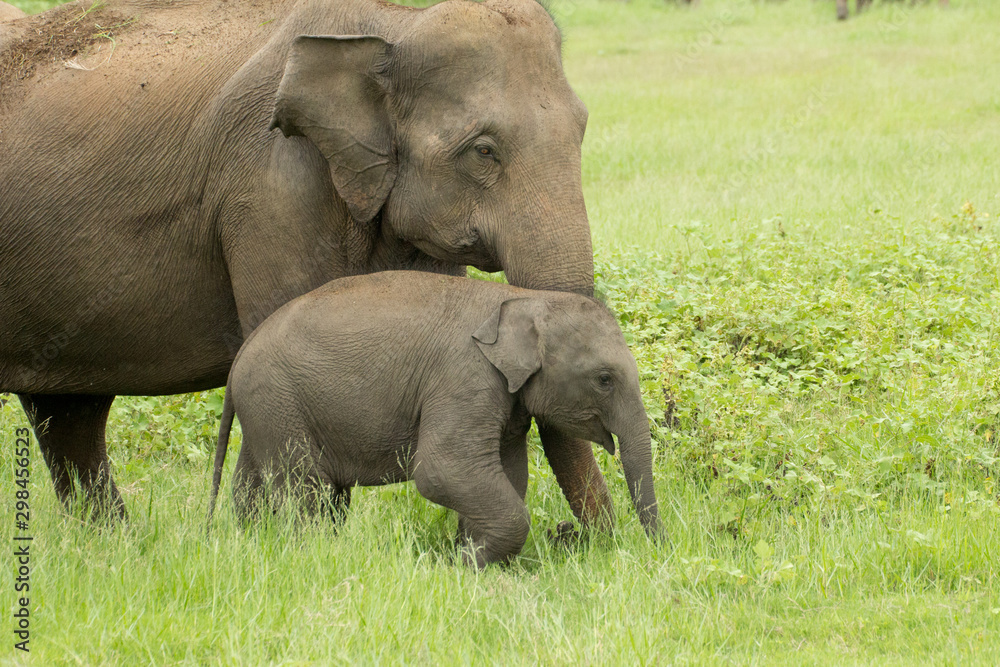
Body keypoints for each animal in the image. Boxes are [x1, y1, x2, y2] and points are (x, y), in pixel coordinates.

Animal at [0, 0, 613, 528]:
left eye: (583, 131)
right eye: (483, 150)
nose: (580, 537)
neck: (389, 25)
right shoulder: (271, 187)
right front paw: (296, 539)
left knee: (70, 416)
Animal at [207, 271, 661, 567]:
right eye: (604, 379)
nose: (658, 550)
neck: (521, 297)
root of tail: (239, 359)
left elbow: (509, 472)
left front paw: (471, 556)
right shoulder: (464, 378)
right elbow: (443, 470)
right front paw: (466, 564)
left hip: (268, 410)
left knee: (256, 483)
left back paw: (251, 541)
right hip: (278, 401)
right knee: (309, 492)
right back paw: (312, 553)